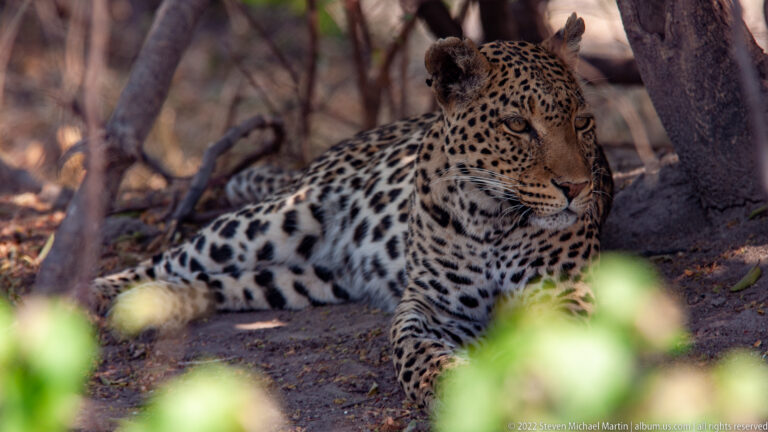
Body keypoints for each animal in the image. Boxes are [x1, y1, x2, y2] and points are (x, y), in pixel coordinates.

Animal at [91, 13, 613, 410]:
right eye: (518, 125)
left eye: (583, 122)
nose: (576, 187)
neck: (493, 221)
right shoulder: (430, 305)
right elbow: (414, 352)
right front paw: (448, 384)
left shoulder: (567, 295)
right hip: (271, 221)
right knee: (174, 257)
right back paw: (93, 294)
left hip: (300, 280)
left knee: (219, 284)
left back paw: (149, 304)